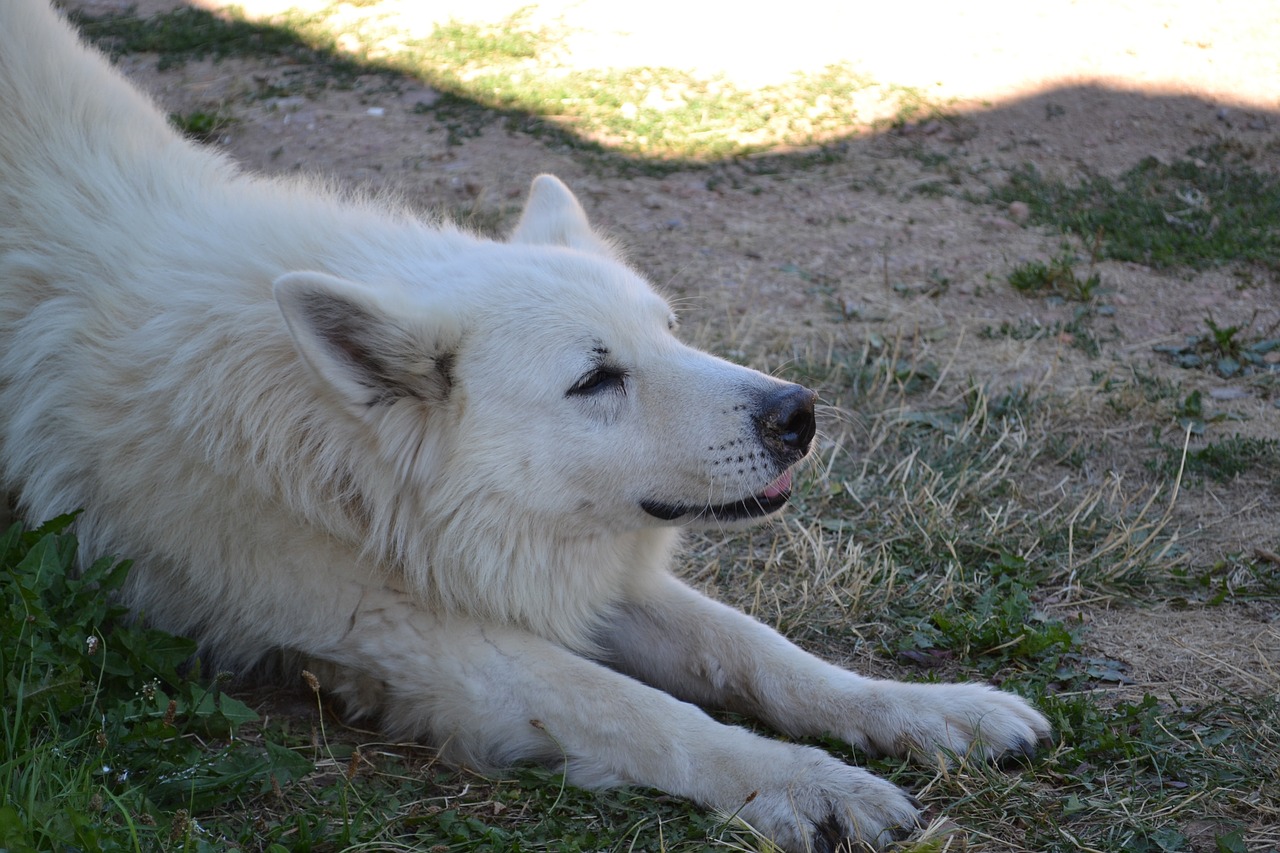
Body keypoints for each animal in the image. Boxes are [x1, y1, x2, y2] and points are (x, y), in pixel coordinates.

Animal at [0, 3, 1049, 845]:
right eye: (596, 379)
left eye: (669, 331)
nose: (800, 412)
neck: (347, 460)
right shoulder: (424, 644)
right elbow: (643, 712)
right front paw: (808, 782)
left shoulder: (577, 570)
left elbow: (763, 652)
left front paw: (933, 710)